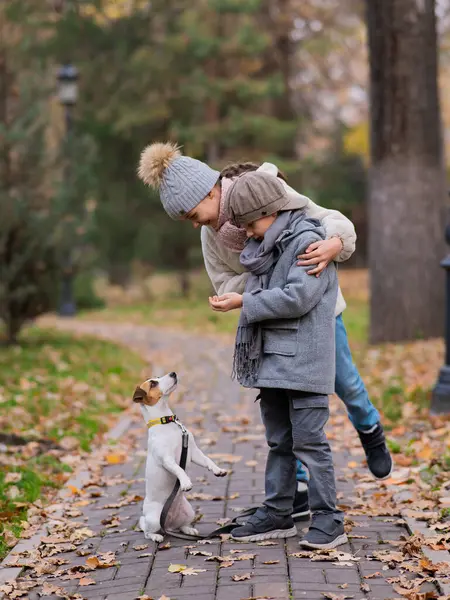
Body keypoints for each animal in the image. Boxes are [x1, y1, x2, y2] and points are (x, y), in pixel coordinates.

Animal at [132, 372, 227, 540]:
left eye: (158, 377)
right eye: (153, 384)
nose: (173, 373)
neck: (166, 423)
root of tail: (168, 523)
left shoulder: (193, 452)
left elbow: (207, 460)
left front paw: (218, 470)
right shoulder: (167, 459)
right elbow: (179, 469)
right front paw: (186, 482)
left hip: (189, 512)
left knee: (181, 526)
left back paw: (189, 530)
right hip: (154, 519)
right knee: (147, 531)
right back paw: (156, 536)